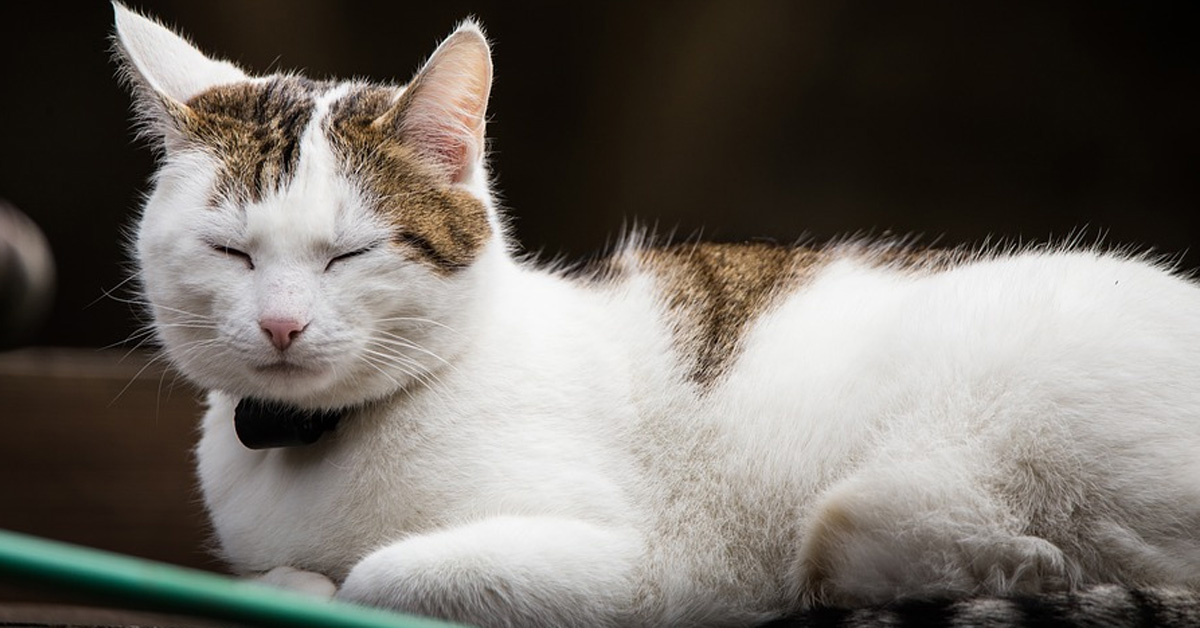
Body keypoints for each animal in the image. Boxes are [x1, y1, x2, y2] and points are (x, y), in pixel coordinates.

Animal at [112, 4, 1200, 628]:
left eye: (350, 253)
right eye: (232, 252)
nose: (282, 327)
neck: (310, 446)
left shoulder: (645, 566)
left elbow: (382, 573)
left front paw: (314, 582)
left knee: (881, 529)